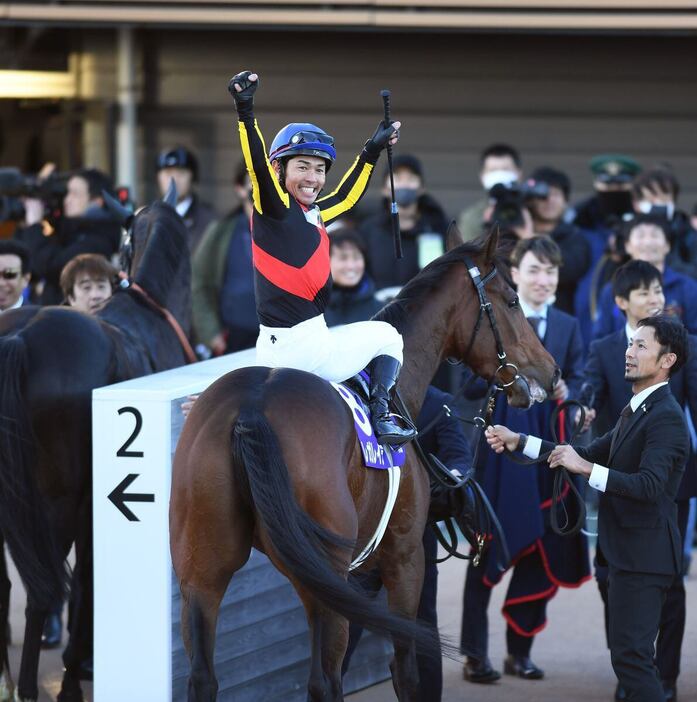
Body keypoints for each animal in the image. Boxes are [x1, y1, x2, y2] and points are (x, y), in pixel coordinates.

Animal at [0, 199, 190, 702]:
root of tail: (18, 337)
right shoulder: (92, 501)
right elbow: (87, 579)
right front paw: (72, 672)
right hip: (56, 501)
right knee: (43, 591)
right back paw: (33, 686)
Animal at [170, 227, 560, 702]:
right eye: (512, 300)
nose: (551, 372)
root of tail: (252, 409)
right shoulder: (404, 556)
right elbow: (406, 668)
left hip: (203, 571)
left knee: (204, 677)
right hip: (324, 577)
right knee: (325, 680)